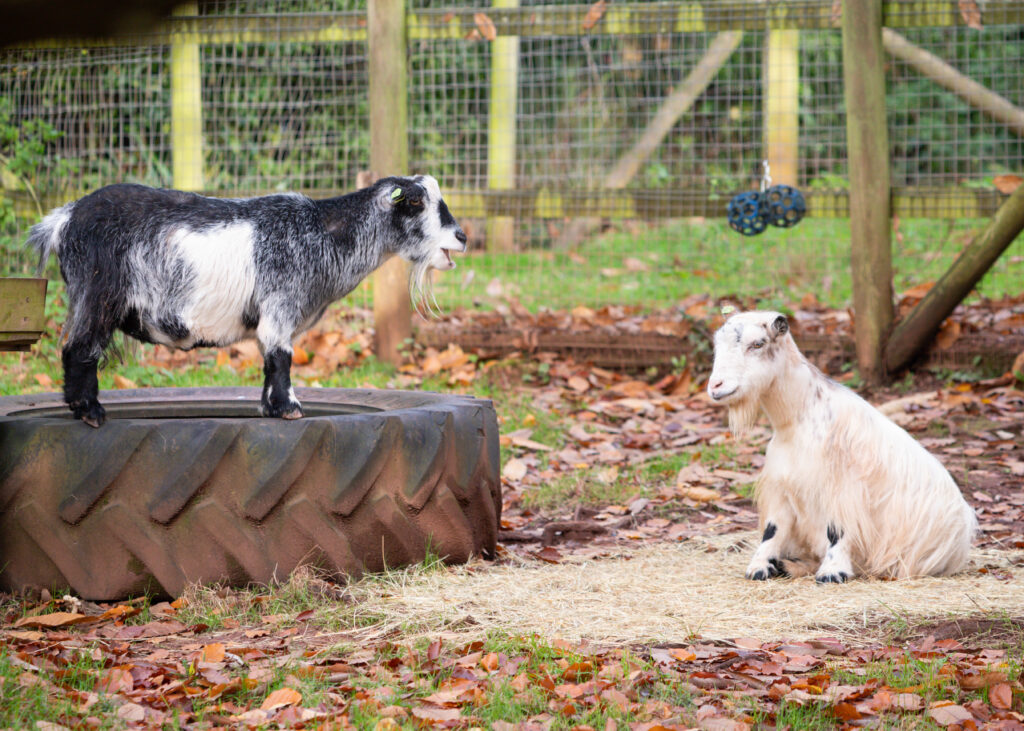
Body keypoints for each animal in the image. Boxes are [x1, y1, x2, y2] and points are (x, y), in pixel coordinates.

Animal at [29, 175, 466, 427]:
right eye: (416, 202)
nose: (461, 237)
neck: (323, 232)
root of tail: (63, 220)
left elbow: (269, 361)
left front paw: (270, 408)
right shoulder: (281, 304)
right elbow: (281, 357)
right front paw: (290, 408)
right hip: (99, 293)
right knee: (79, 348)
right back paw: (89, 412)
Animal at [707, 310, 977, 582]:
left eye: (757, 344)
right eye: (717, 345)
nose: (715, 386)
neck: (798, 418)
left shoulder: (842, 488)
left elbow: (837, 530)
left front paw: (832, 572)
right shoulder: (782, 485)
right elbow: (773, 529)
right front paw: (759, 567)